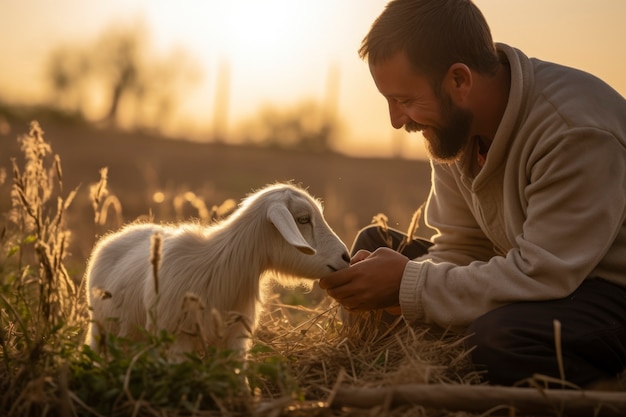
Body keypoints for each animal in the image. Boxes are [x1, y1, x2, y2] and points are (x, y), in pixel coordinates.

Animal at [84, 183, 348, 358]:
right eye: (303, 219)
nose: (346, 257)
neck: (224, 264)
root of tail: (120, 233)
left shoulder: (235, 339)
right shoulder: (177, 339)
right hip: (100, 328)